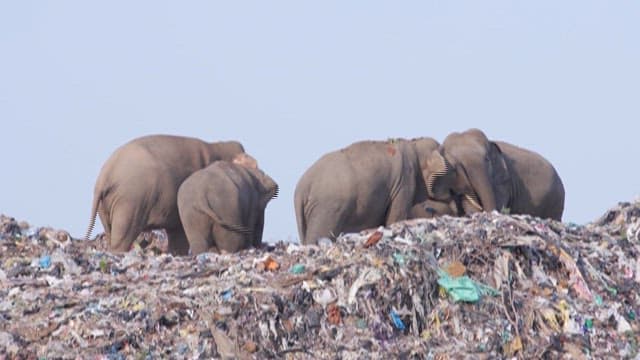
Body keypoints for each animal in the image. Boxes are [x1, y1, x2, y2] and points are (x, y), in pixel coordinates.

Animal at [85, 134, 245, 255]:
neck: (215, 146)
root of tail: (104, 176)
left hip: (106, 206)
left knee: (111, 233)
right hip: (129, 202)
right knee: (122, 237)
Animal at [292, 138, 452, 245]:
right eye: (453, 171)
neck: (414, 144)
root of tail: (300, 190)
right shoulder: (404, 181)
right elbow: (395, 218)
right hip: (327, 209)